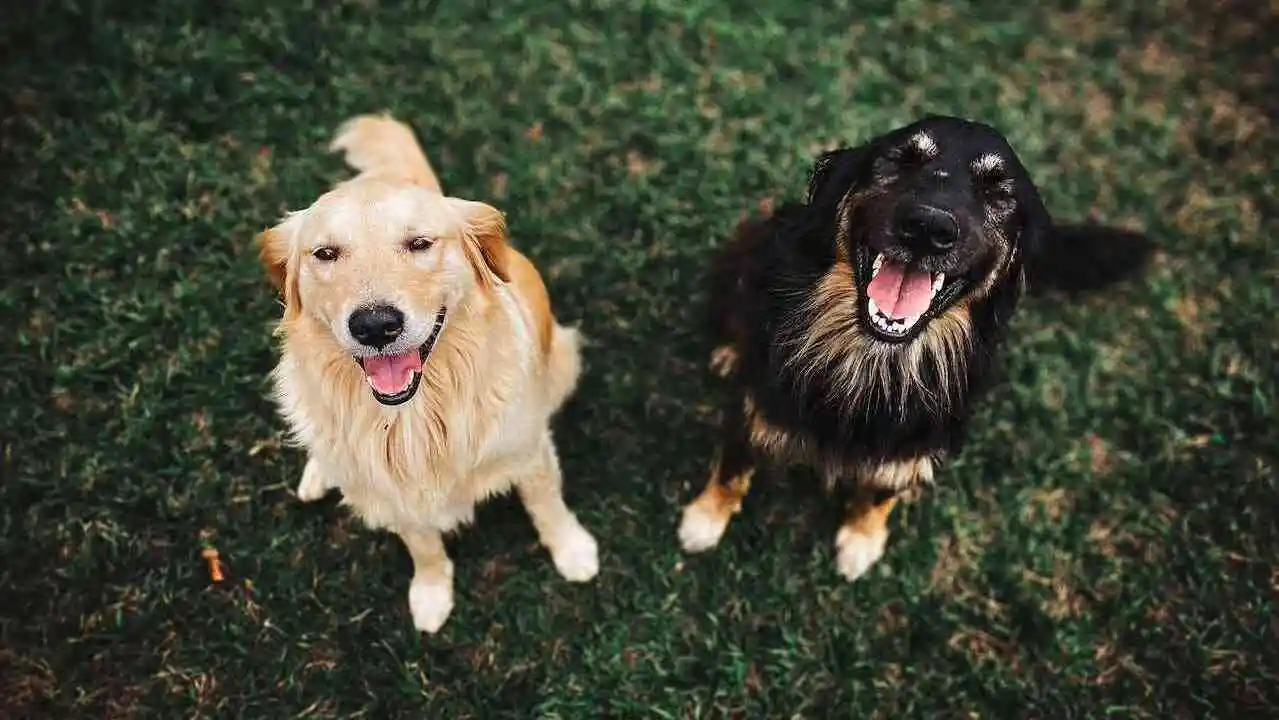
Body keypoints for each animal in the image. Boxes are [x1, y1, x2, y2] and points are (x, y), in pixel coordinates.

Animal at [259, 112, 603, 631]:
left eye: (419, 243)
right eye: (325, 254)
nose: (374, 325)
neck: (413, 418)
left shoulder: (529, 452)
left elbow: (547, 506)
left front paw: (573, 550)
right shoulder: (396, 496)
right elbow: (423, 546)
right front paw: (431, 593)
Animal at [675, 115, 1156, 583]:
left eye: (996, 192)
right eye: (902, 160)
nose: (928, 228)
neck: (873, 358)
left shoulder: (916, 443)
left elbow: (882, 490)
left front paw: (861, 540)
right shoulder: (754, 406)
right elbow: (733, 466)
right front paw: (705, 519)